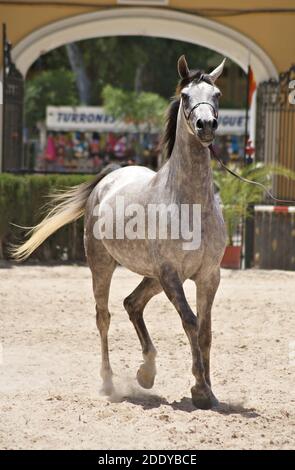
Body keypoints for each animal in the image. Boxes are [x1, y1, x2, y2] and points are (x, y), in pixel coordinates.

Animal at [13, 54, 227, 408]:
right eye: (186, 96)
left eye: (217, 94)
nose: (206, 125)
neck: (189, 202)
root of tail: (109, 177)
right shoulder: (171, 274)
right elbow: (190, 322)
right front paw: (199, 388)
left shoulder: (208, 276)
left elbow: (206, 330)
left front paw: (209, 390)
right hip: (104, 267)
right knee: (104, 316)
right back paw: (108, 382)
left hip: (153, 278)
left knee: (132, 304)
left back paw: (146, 372)